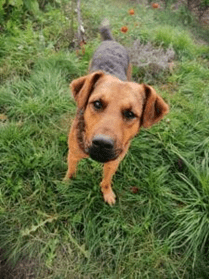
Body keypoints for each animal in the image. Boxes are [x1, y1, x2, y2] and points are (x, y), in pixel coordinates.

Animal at [63, 20, 168, 206]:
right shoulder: (73, 154)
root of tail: (111, 41)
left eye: (130, 114)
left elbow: (106, 180)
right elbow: (71, 172)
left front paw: (107, 193)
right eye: (97, 104)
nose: (102, 144)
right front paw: (67, 184)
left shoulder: (114, 162)